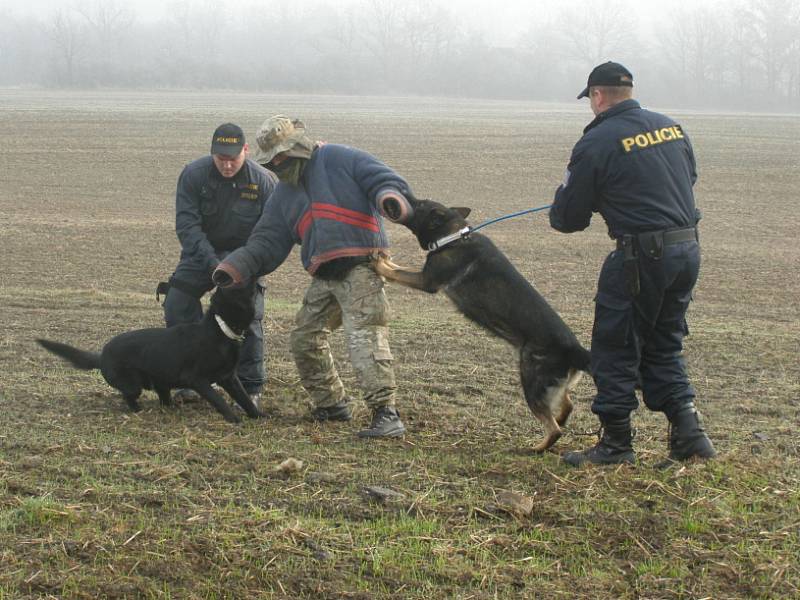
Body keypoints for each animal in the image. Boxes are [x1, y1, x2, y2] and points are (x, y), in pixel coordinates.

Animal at [37, 280, 262, 422]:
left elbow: (244, 399)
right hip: (133, 384)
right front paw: (233, 419)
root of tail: (101, 356)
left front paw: (259, 416)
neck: (221, 329)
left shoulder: (229, 378)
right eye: (235, 285)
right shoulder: (197, 379)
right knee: (128, 396)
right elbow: (218, 400)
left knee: (162, 399)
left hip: (160, 382)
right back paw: (138, 410)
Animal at [378, 199, 592, 452]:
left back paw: (537, 448)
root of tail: (575, 350)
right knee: (567, 405)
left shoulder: (426, 280)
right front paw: (383, 257)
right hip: (554, 385)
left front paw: (377, 263)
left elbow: (397, 271)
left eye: (419, 204)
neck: (453, 236)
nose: (402, 199)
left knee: (555, 429)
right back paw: (558, 420)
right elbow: (396, 266)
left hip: (531, 381)